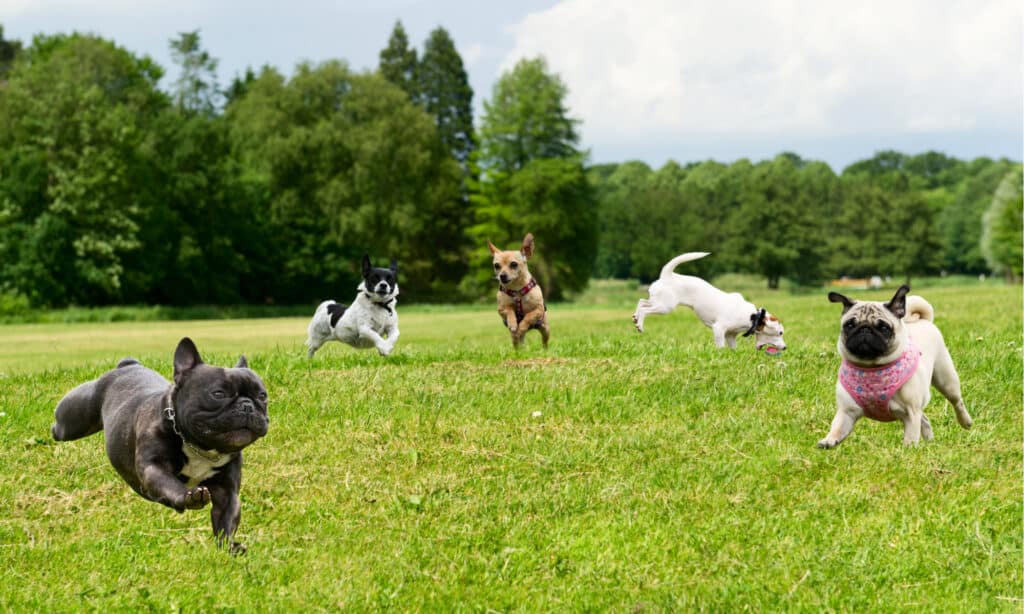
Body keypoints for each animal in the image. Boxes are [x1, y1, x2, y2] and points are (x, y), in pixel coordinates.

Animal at [626, 251, 786, 349]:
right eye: (780, 333)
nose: (785, 348)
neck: (753, 317)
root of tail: (667, 275)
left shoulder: (730, 336)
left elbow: (733, 348)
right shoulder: (719, 329)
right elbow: (720, 347)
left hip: (659, 302)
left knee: (641, 302)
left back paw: (635, 318)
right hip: (665, 307)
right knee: (645, 309)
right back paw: (640, 325)